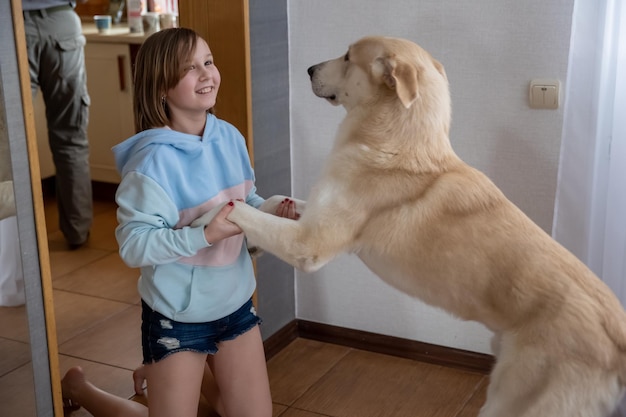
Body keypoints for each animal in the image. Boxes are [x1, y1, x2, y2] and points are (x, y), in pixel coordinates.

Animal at [193, 36, 624, 416]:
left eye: (347, 56)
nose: (309, 69)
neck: (396, 141)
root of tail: (617, 334)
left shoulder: (310, 242)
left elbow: (239, 209)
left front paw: (201, 221)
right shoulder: (315, 215)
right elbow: (272, 202)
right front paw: (250, 241)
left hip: (515, 402)